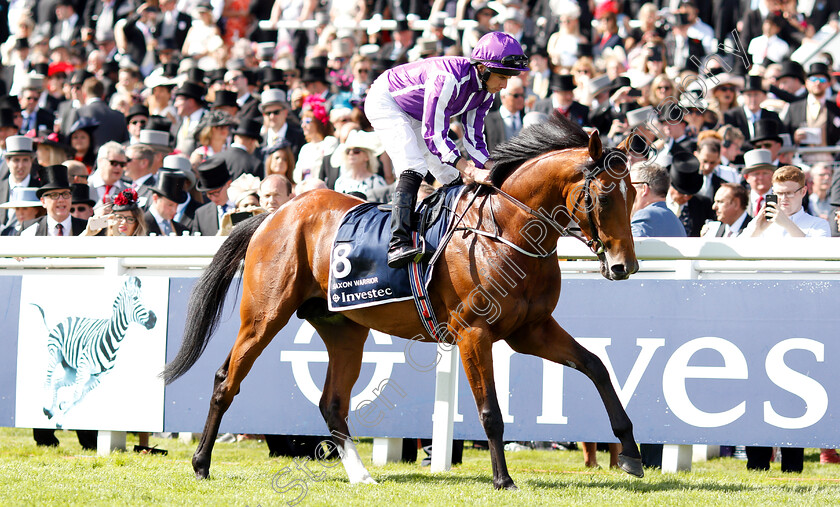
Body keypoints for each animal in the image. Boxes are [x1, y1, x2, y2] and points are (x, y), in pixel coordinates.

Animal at [167, 113, 648, 490]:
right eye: (604, 195)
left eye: (634, 195)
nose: (624, 266)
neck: (506, 231)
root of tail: (275, 213)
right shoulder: (474, 333)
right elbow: (490, 411)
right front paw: (503, 479)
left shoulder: (531, 330)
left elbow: (596, 367)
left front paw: (631, 454)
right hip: (264, 317)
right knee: (226, 381)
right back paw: (201, 463)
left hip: (344, 329)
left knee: (332, 404)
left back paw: (361, 475)